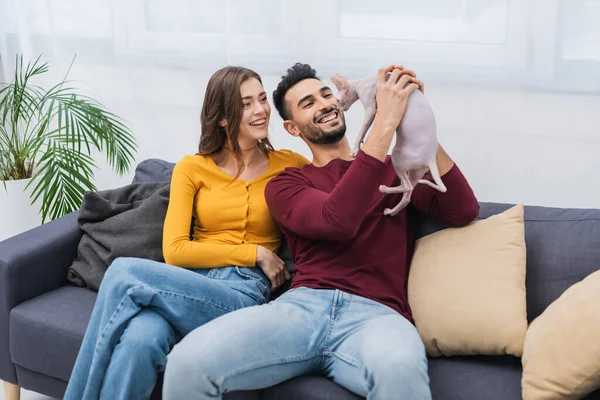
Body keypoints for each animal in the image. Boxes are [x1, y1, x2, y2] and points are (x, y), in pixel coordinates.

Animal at [332, 72, 446, 216]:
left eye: (337, 100)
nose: (337, 109)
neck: (359, 83)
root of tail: (430, 158)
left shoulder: (371, 108)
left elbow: (362, 129)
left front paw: (355, 149)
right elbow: (364, 129)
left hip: (397, 155)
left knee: (407, 186)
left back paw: (384, 190)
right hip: (417, 171)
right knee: (407, 194)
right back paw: (391, 211)